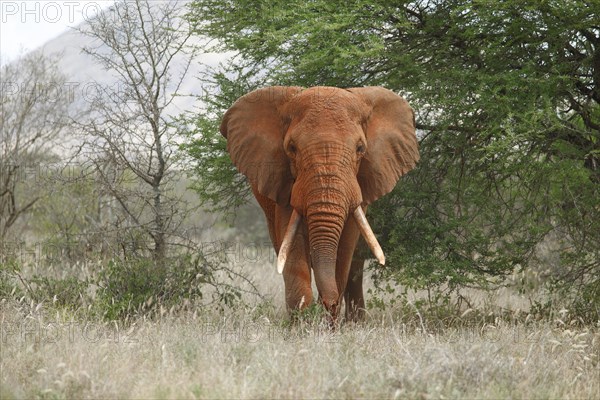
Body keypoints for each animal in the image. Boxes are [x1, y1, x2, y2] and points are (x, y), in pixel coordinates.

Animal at [219, 85, 418, 322]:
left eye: (360, 148)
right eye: (292, 148)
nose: (329, 304)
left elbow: (345, 248)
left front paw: (331, 321)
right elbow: (293, 247)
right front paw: (302, 322)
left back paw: (355, 322)